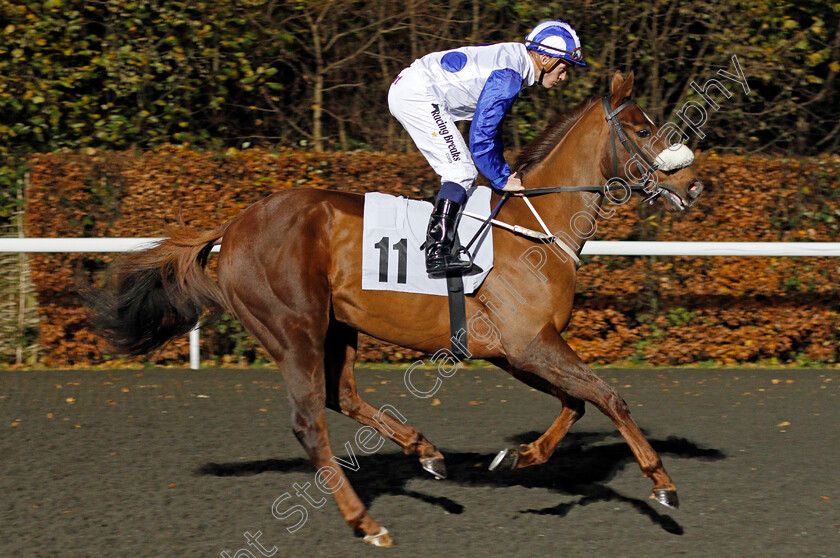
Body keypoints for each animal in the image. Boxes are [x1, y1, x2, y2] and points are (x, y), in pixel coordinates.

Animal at [88, 71, 704, 548]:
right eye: (644, 129)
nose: (695, 185)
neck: (535, 225)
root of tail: (233, 227)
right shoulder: (530, 342)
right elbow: (608, 395)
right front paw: (662, 483)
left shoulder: (514, 350)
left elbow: (576, 403)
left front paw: (517, 458)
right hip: (294, 328)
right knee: (309, 422)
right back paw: (367, 523)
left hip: (337, 328)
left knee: (341, 396)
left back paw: (424, 451)